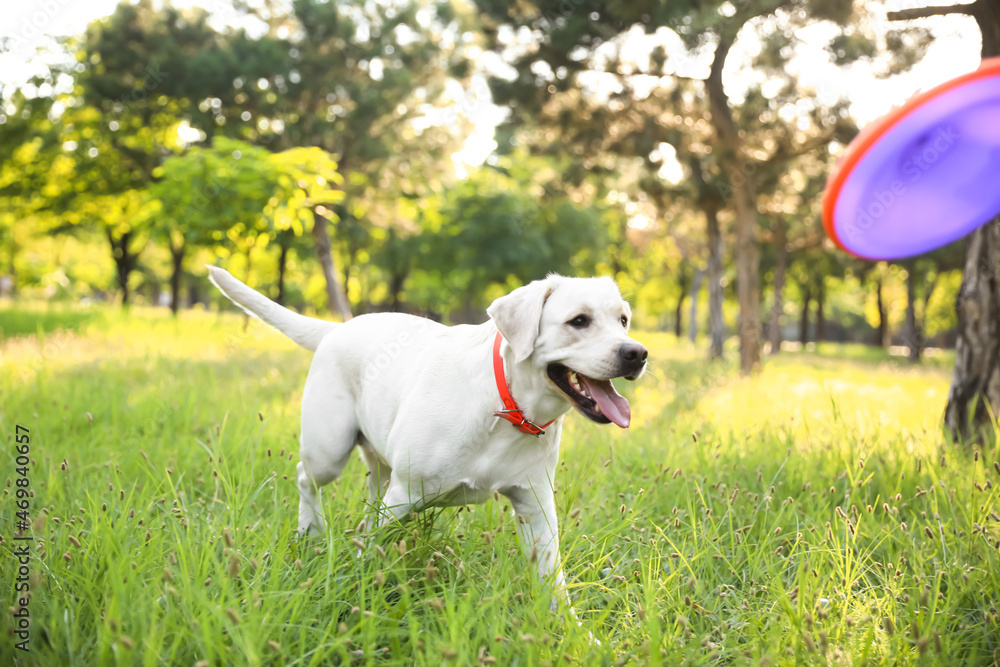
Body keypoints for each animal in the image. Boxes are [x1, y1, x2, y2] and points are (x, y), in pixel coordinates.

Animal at [211, 264, 648, 608]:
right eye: (579, 321)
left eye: (623, 320)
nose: (637, 353)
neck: (507, 404)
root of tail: (337, 328)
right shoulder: (404, 494)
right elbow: (373, 551)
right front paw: (355, 591)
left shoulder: (535, 503)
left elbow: (553, 579)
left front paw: (573, 631)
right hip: (329, 451)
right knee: (307, 478)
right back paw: (310, 529)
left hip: (379, 465)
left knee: (368, 496)